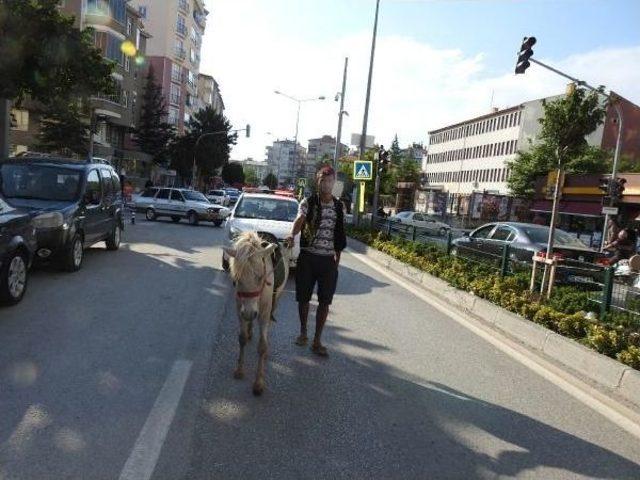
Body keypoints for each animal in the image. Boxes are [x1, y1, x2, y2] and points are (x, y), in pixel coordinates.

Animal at [221, 232, 288, 394]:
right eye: (237, 279)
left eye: (260, 277)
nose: (250, 313)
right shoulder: (240, 309)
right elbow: (242, 338)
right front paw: (239, 370)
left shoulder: (263, 313)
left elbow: (262, 346)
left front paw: (258, 383)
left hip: (276, 300)